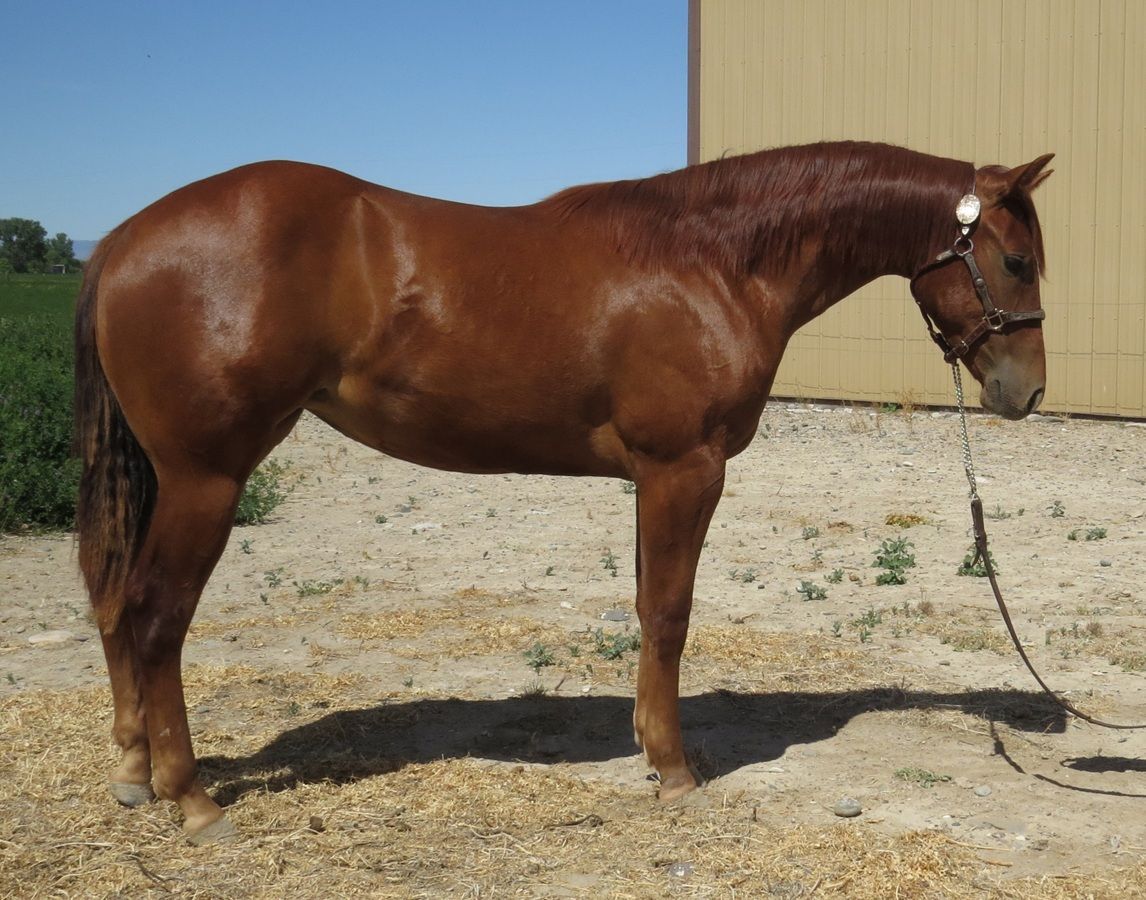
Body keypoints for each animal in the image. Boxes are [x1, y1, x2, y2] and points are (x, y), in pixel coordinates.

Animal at [74, 141, 1053, 843]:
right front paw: (674, 773)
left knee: (116, 605)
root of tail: (119, 240)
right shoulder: (684, 469)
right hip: (207, 478)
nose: (1028, 392)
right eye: (1013, 260)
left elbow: (649, 609)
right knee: (155, 616)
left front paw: (648, 747)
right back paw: (192, 799)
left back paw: (129, 773)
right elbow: (669, 614)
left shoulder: (657, 479)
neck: (715, 260)